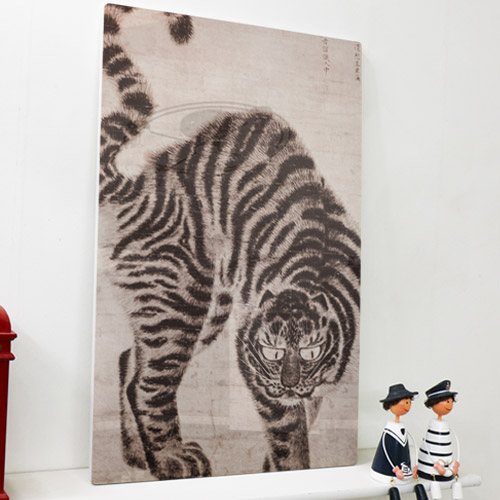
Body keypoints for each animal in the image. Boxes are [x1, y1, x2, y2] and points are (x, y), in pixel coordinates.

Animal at [98, 4, 360, 481]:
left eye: (310, 350)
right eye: (271, 352)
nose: (288, 383)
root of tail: (141, 188)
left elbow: (306, 416)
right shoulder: (259, 374)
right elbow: (290, 436)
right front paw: (289, 467)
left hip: (200, 310)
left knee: (129, 360)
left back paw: (138, 457)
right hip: (179, 304)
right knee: (148, 385)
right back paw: (169, 460)